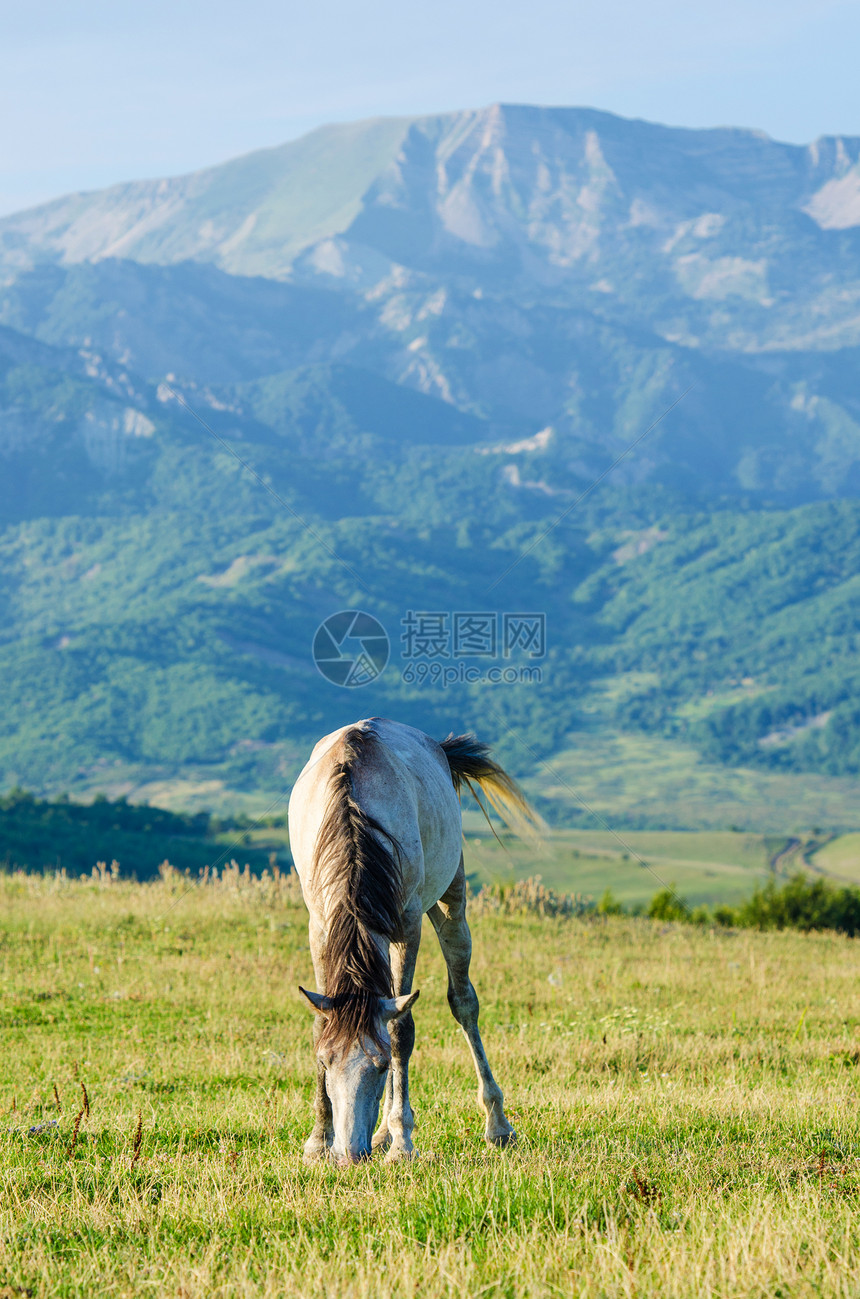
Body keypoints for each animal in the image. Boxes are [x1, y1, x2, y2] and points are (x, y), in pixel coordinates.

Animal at [289, 722, 540, 1169]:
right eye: (325, 1061)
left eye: (381, 1066)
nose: (349, 1155)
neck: (352, 817)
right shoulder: (319, 926)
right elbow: (322, 1022)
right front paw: (318, 1142)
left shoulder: (407, 925)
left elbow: (400, 1029)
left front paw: (403, 1142)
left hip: (450, 899)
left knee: (464, 1001)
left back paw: (496, 1125)